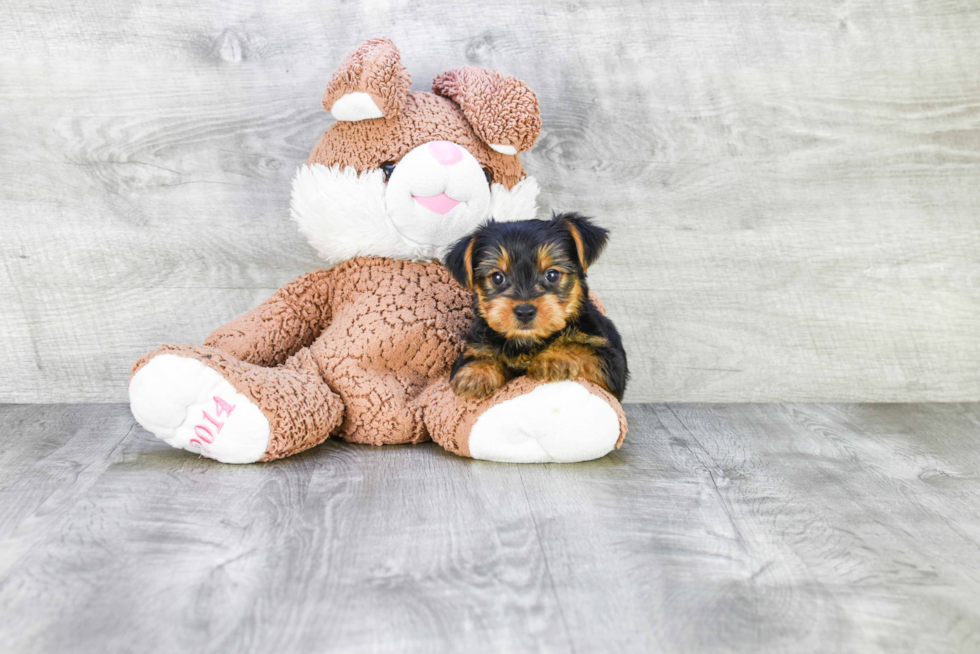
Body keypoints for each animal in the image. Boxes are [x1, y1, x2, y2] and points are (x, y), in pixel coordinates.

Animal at [444, 213, 628, 402]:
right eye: (497, 277)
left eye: (552, 275)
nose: (525, 312)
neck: (528, 341)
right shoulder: (476, 345)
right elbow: (478, 355)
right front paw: (477, 372)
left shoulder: (611, 363)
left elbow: (582, 348)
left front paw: (554, 357)